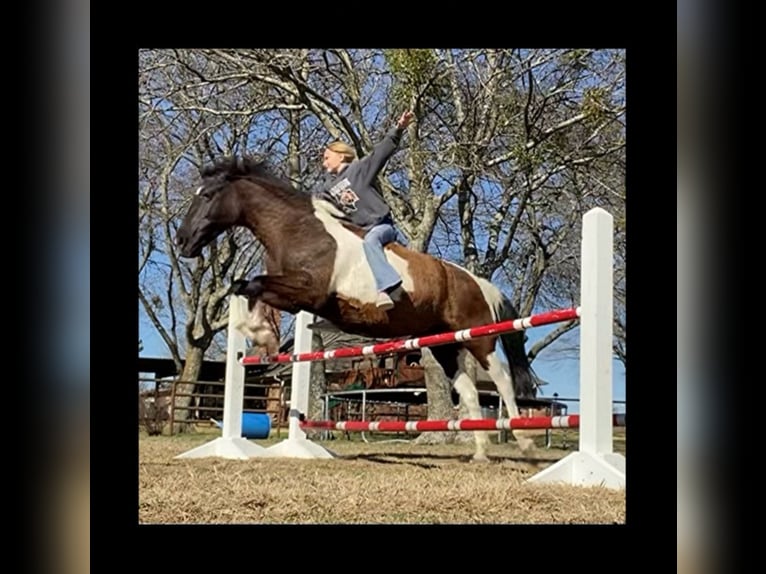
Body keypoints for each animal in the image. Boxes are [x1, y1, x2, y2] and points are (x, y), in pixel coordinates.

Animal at [177, 155, 544, 462]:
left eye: (207, 196)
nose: (182, 241)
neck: (300, 231)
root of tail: (477, 282)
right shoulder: (292, 295)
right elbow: (245, 286)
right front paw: (261, 335)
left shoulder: (307, 294)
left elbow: (253, 284)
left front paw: (262, 334)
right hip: (444, 344)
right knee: (467, 391)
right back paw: (480, 453)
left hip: (478, 338)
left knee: (501, 379)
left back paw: (524, 442)